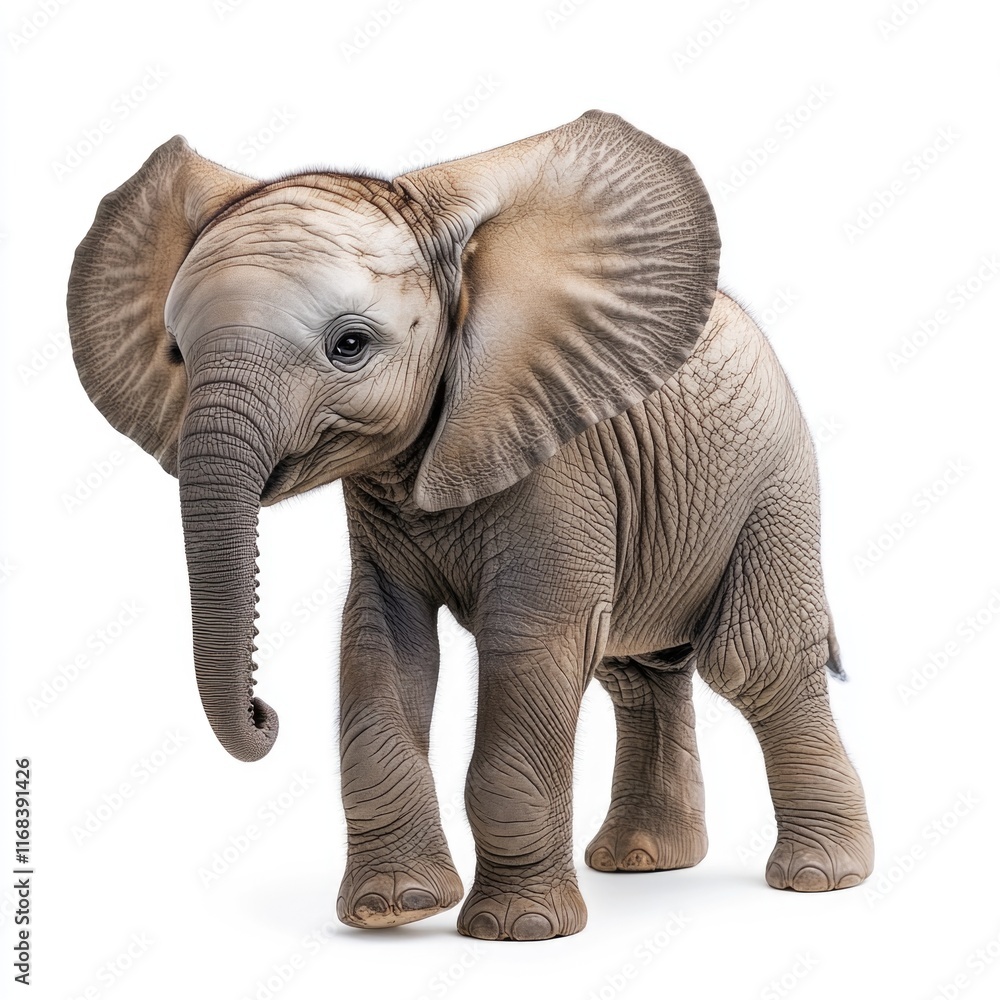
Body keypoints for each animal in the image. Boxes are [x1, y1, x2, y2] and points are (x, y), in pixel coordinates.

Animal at [67, 110, 873, 941]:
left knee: (753, 660)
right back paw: (642, 862)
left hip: (774, 482)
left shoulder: (561, 457)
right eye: (175, 352)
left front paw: (520, 930)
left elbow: (532, 638)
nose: (265, 714)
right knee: (636, 671)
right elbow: (381, 641)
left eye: (349, 345)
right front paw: (392, 910)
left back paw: (818, 877)